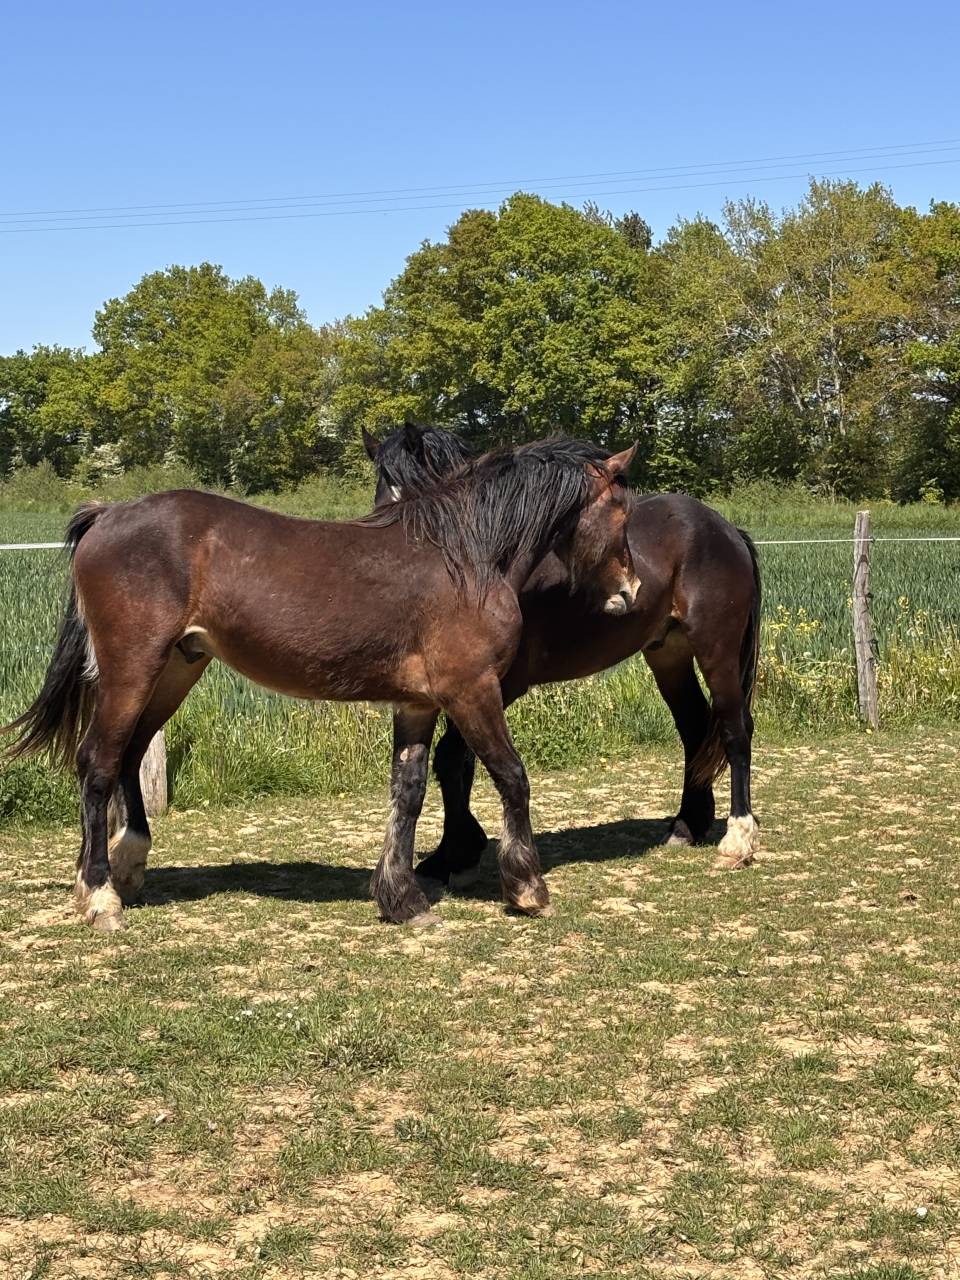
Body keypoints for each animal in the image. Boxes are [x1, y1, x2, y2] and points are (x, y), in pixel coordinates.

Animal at [4, 438, 639, 931]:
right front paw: (528, 888)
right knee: (98, 762)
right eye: (623, 510)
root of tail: (108, 514)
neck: (465, 556)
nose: (630, 590)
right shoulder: (471, 691)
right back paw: (99, 896)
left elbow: (408, 792)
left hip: (176, 669)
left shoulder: (417, 703)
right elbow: (512, 777)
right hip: (131, 669)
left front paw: (402, 898)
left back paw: (128, 866)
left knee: (131, 754)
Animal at [364, 423, 762, 881]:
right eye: (379, 506)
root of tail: (726, 529)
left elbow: (453, 757)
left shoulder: (499, 684)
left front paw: (456, 851)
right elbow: (455, 761)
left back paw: (737, 840)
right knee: (695, 728)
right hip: (668, 654)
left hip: (717, 648)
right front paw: (455, 851)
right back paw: (687, 825)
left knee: (734, 729)